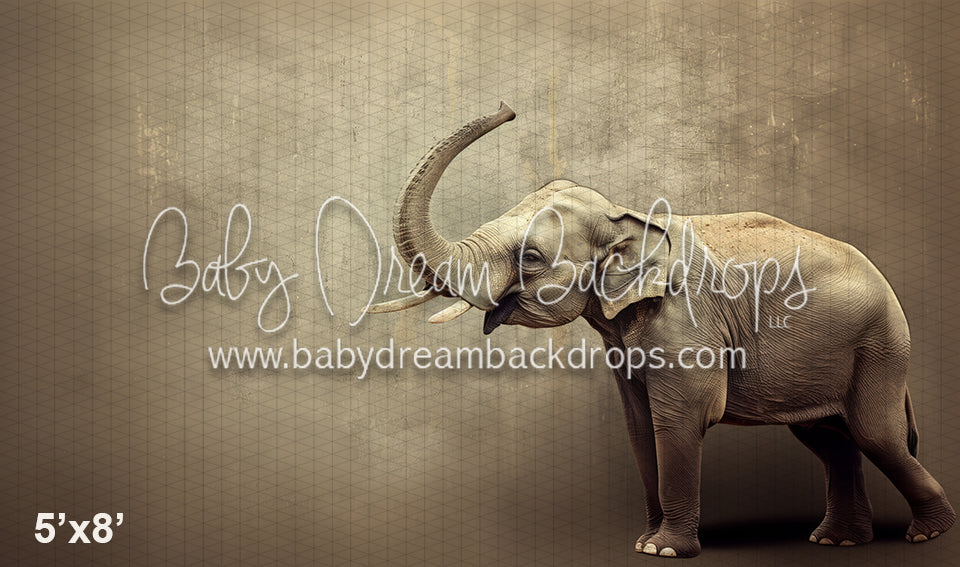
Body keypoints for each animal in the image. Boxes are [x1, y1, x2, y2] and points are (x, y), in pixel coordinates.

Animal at [370, 102, 956, 557]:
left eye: (532, 257)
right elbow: (637, 423)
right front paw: (644, 542)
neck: (623, 214)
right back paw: (838, 541)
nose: (508, 107)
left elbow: (679, 418)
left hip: (879, 346)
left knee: (875, 434)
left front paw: (663, 550)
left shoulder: (687, 326)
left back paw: (926, 536)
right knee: (829, 438)